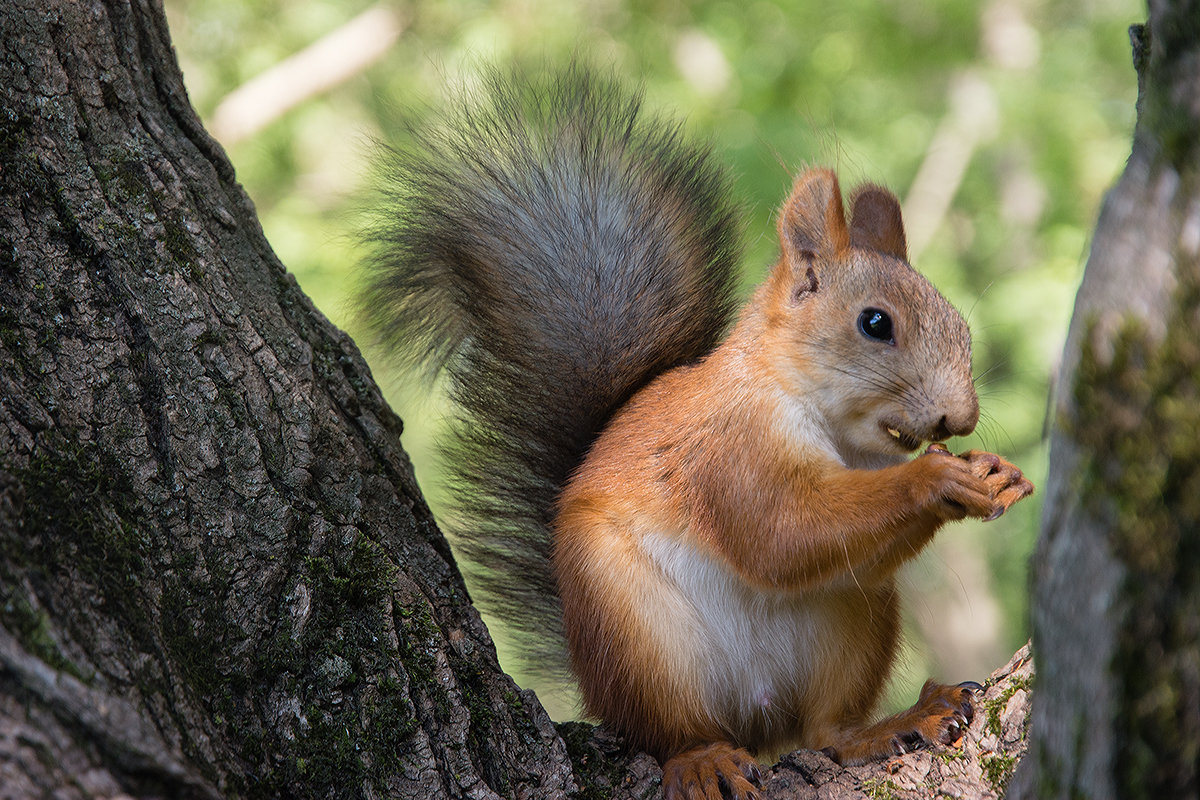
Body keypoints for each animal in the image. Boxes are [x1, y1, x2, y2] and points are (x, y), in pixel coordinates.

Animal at [360, 67, 1036, 800]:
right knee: (672, 732)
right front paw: (936, 477)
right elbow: (780, 532)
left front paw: (997, 472)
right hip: (634, 634)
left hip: (856, 615)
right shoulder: (728, 449)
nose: (960, 419)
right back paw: (702, 758)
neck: (831, 423)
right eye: (876, 323)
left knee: (826, 728)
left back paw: (889, 725)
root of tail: (756, 717)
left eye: (961, 325)